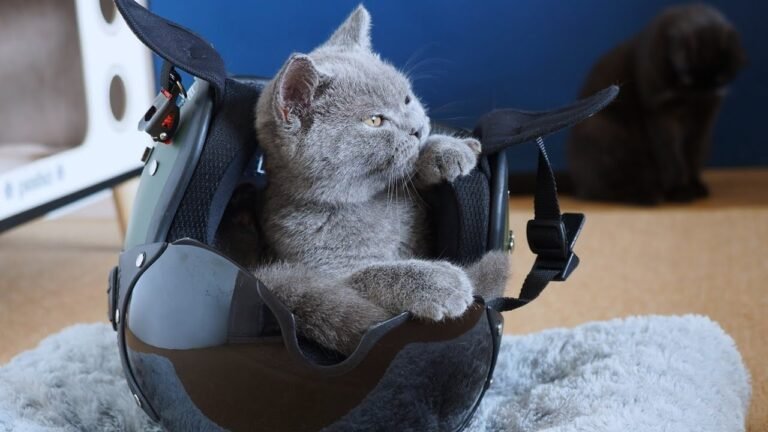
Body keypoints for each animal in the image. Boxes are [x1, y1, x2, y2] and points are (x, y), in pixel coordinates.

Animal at [252, 5, 508, 354]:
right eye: (375, 121)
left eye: (407, 99)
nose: (418, 128)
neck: (366, 202)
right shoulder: (323, 272)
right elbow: (370, 275)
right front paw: (440, 282)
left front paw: (449, 149)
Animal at [568, 3, 744, 204]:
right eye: (686, 78)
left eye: (719, 79)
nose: (700, 95)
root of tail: (574, 178)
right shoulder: (660, 111)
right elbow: (671, 156)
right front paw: (680, 191)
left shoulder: (706, 114)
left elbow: (694, 152)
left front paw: (695, 185)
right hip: (605, 134)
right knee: (598, 189)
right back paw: (648, 195)